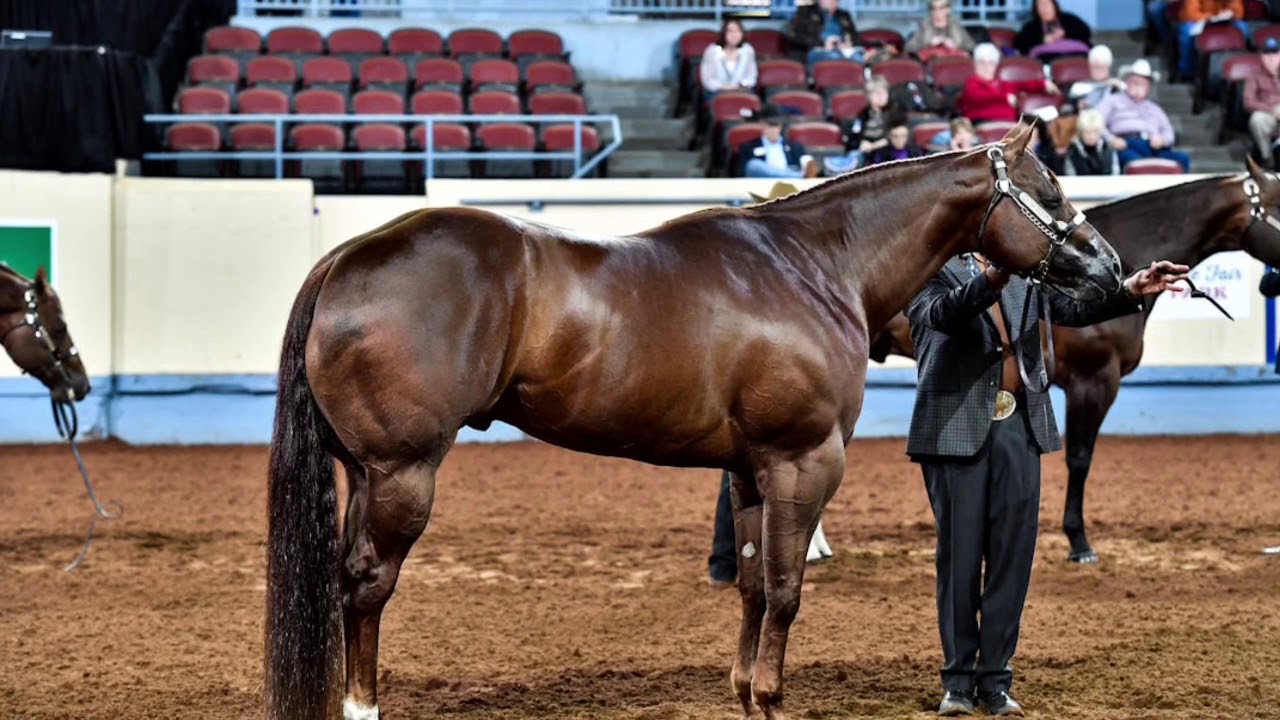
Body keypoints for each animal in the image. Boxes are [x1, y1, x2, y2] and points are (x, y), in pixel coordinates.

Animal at [264, 122, 1126, 717]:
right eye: (1051, 192)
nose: (1110, 267)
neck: (816, 265)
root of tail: (346, 256)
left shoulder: (749, 470)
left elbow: (749, 584)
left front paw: (746, 692)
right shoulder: (804, 461)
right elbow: (785, 589)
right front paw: (772, 697)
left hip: (361, 474)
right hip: (402, 472)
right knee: (368, 584)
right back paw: (363, 705)